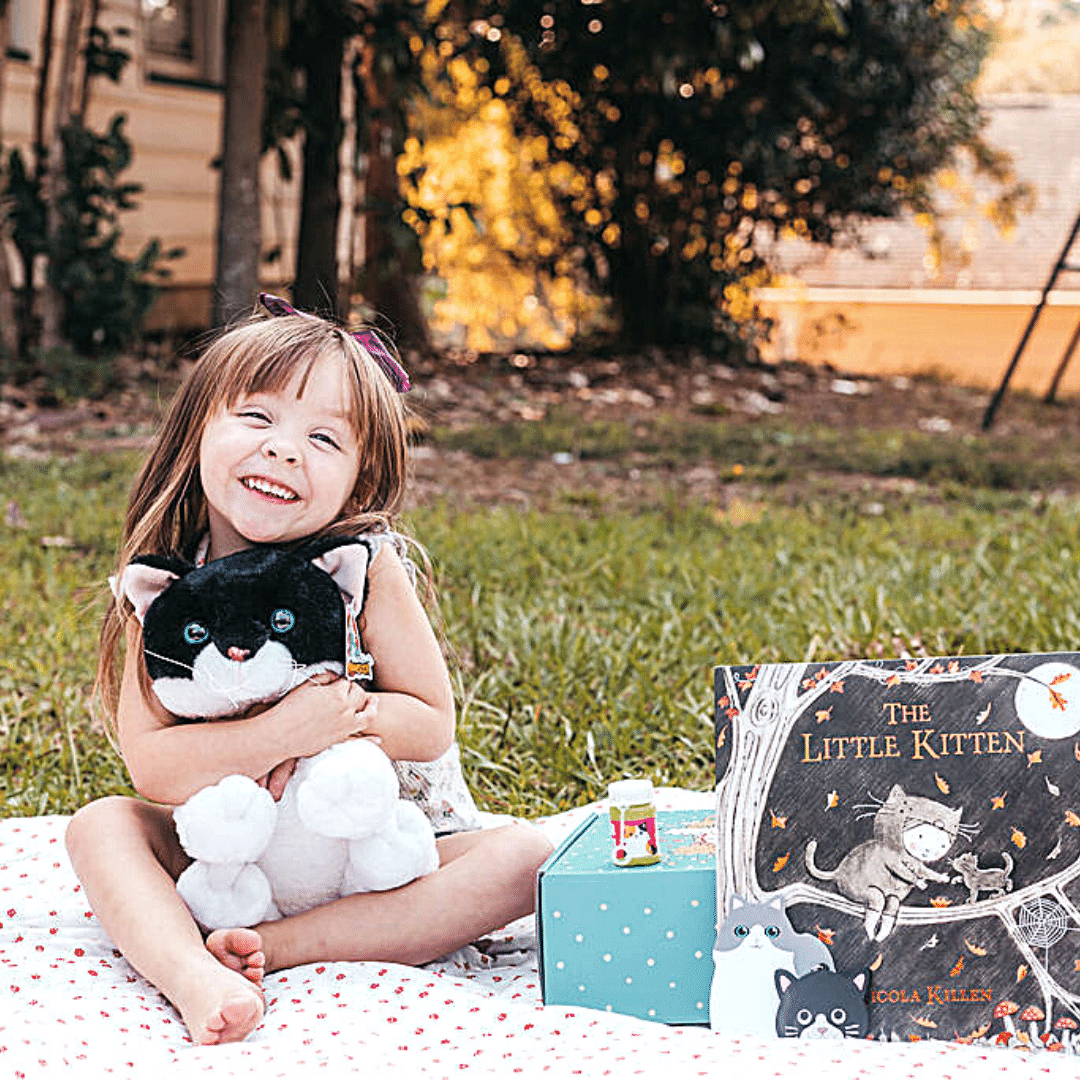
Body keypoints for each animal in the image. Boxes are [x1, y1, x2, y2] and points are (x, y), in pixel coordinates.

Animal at [803, 781, 972, 941]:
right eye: (920, 836)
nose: (938, 824)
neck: (907, 854)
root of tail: (838, 872)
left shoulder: (917, 864)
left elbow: (925, 871)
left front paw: (943, 878)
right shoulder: (891, 857)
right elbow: (901, 870)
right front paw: (919, 882)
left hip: (891, 897)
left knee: (891, 906)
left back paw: (881, 935)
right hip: (861, 891)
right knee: (876, 901)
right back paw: (871, 933)